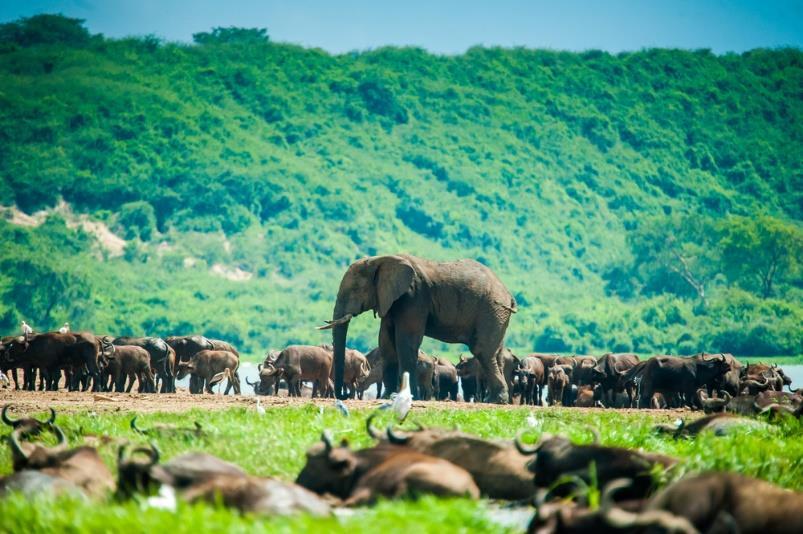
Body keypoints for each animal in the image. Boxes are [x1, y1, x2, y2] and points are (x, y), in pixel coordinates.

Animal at [320, 254, 516, 402]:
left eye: (355, 289)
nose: (344, 396)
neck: (380, 260)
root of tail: (508, 294)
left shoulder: (413, 297)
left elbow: (405, 342)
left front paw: (408, 397)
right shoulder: (391, 300)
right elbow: (386, 343)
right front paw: (386, 397)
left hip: (492, 309)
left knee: (482, 351)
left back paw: (496, 400)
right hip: (496, 313)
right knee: (494, 353)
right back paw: (495, 400)